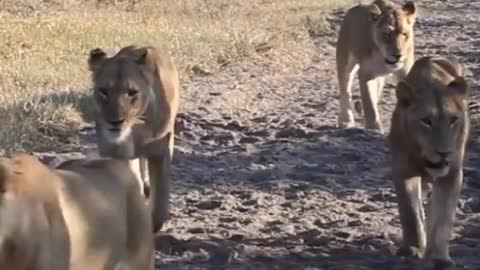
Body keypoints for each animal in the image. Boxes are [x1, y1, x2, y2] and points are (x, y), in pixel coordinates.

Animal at [86, 43, 180, 232]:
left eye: (132, 92)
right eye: (103, 91)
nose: (115, 121)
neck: (134, 130)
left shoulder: (161, 150)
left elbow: (160, 203)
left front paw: (154, 226)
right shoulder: (114, 153)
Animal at [388, 56, 470, 268]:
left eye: (453, 120)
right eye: (426, 121)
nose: (444, 153)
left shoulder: (452, 175)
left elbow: (442, 218)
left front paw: (439, 258)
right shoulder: (402, 171)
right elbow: (410, 212)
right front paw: (412, 248)